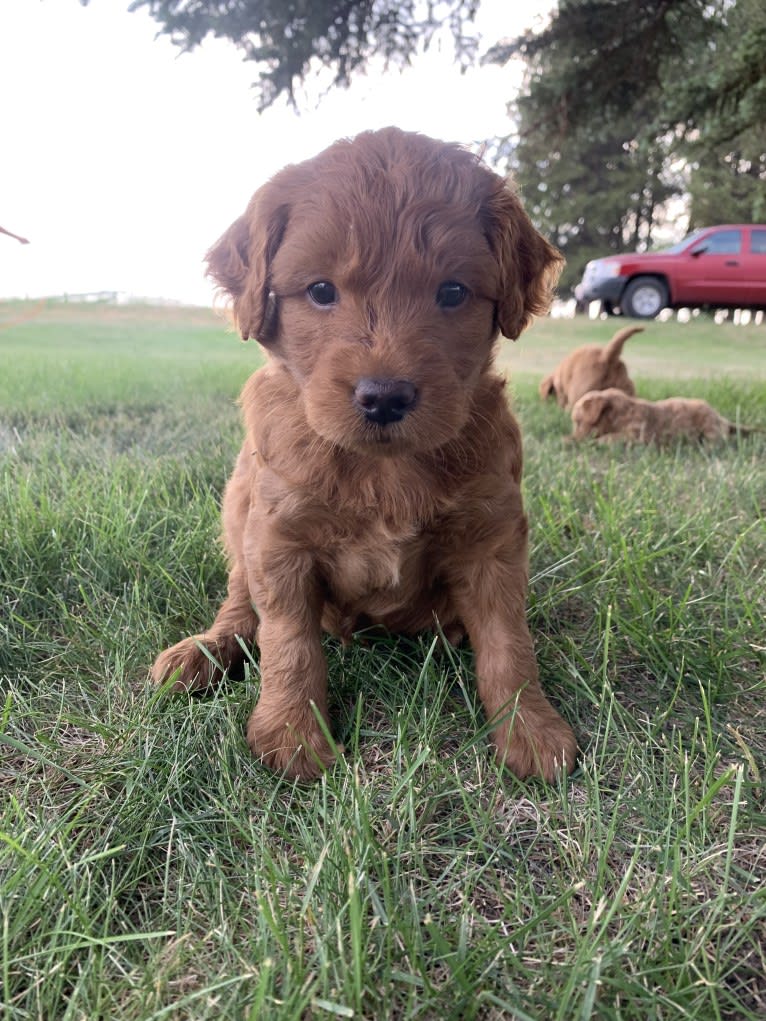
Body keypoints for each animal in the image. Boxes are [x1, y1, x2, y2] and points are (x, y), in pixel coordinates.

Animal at [153, 125, 580, 780]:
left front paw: (531, 730)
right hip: (239, 504)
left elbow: (510, 644)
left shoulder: (492, 539)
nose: (384, 397)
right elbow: (289, 642)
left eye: (452, 292)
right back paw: (202, 652)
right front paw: (293, 736)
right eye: (320, 291)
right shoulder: (278, 539)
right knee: (240, 603)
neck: (385, 469)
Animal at [571, 385, 759, 443]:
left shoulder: (636, 434)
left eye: (578, 422)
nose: (574, 438)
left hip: (709, 427)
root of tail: (721, 419)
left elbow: (611, 438)